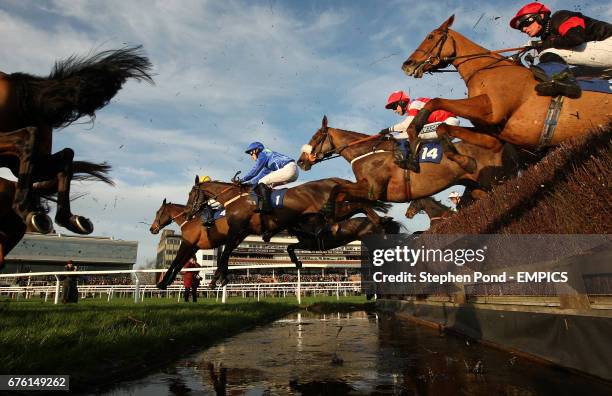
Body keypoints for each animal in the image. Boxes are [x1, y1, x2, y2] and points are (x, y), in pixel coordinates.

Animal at [296, 116, 516, 218]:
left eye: (315, 137)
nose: (301, 161)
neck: (366, 153)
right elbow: (341, 192)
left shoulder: (373, 189)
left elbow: (338, 188)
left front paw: (327, 207)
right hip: (478, 186)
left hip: (496, 179)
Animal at [402, 15, 612, 160]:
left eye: (430, 37)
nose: (407, 65)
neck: (484, 70)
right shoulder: (493, 136)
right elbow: (442, 127)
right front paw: (462, 160)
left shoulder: (493, 111)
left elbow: (436, 101)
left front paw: (413, 131)